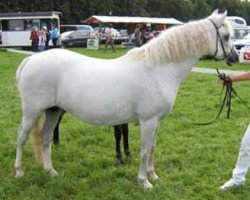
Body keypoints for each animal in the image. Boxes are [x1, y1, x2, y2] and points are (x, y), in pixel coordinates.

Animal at [14, 10, 237, 189]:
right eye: (226, 36)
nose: (235, 58)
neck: (157, 69)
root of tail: (31, 59)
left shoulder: (157, 121)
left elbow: (153, 148)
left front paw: (153, 175)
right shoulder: (148, 121)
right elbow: (145, 150)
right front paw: (144, 182)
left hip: (53, 111)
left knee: (45, 138)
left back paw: (50, 171)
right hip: (32, 112)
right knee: (21, 137)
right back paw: (19, 171)